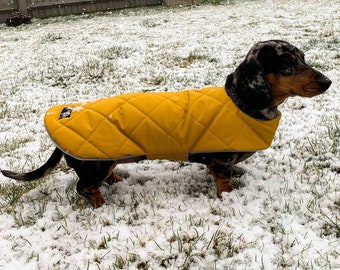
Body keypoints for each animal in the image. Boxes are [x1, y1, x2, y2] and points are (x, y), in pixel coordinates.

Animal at [1, 40, 332, 208]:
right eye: (288, 63)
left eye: (303, 57)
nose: (328, 82)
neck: (241, 102)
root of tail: (65, 115)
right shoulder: (220, 161)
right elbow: (223, 182)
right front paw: (229, 199)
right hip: (95, 164)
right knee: (83, 188)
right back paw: (101, 205)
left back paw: (117, 181)